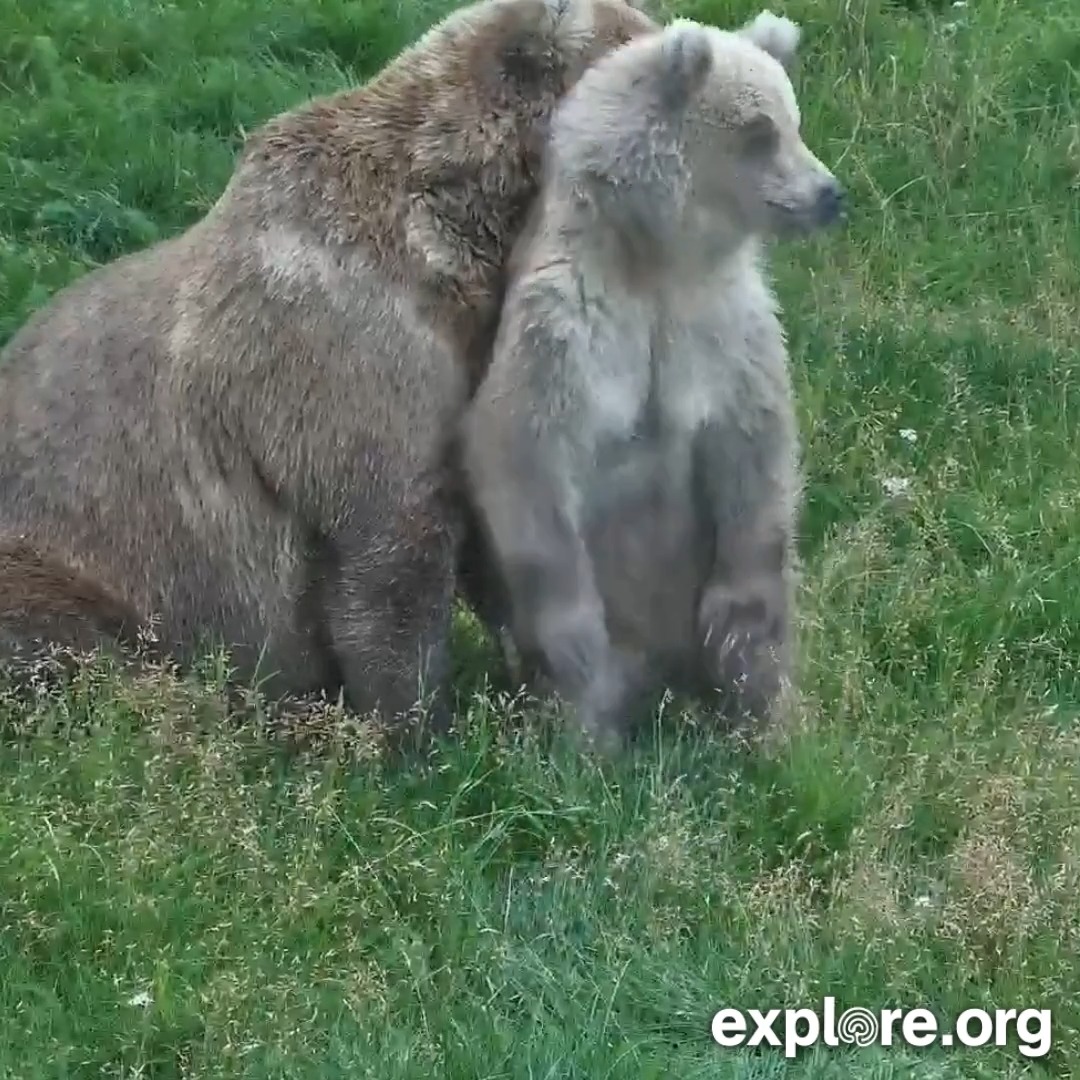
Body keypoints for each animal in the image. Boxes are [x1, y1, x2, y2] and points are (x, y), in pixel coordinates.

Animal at [459, 12, 846, 753]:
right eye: (761, 130)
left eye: (795, 119)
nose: (830, 194)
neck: (657, 258)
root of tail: (666, 679)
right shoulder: (567, 323)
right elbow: (524, 449)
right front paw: (574, 642)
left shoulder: (725, 320)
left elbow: (756, 445)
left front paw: (738, 624)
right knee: (585, 691)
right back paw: (586, 745)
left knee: (765, 657)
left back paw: (774, 735)